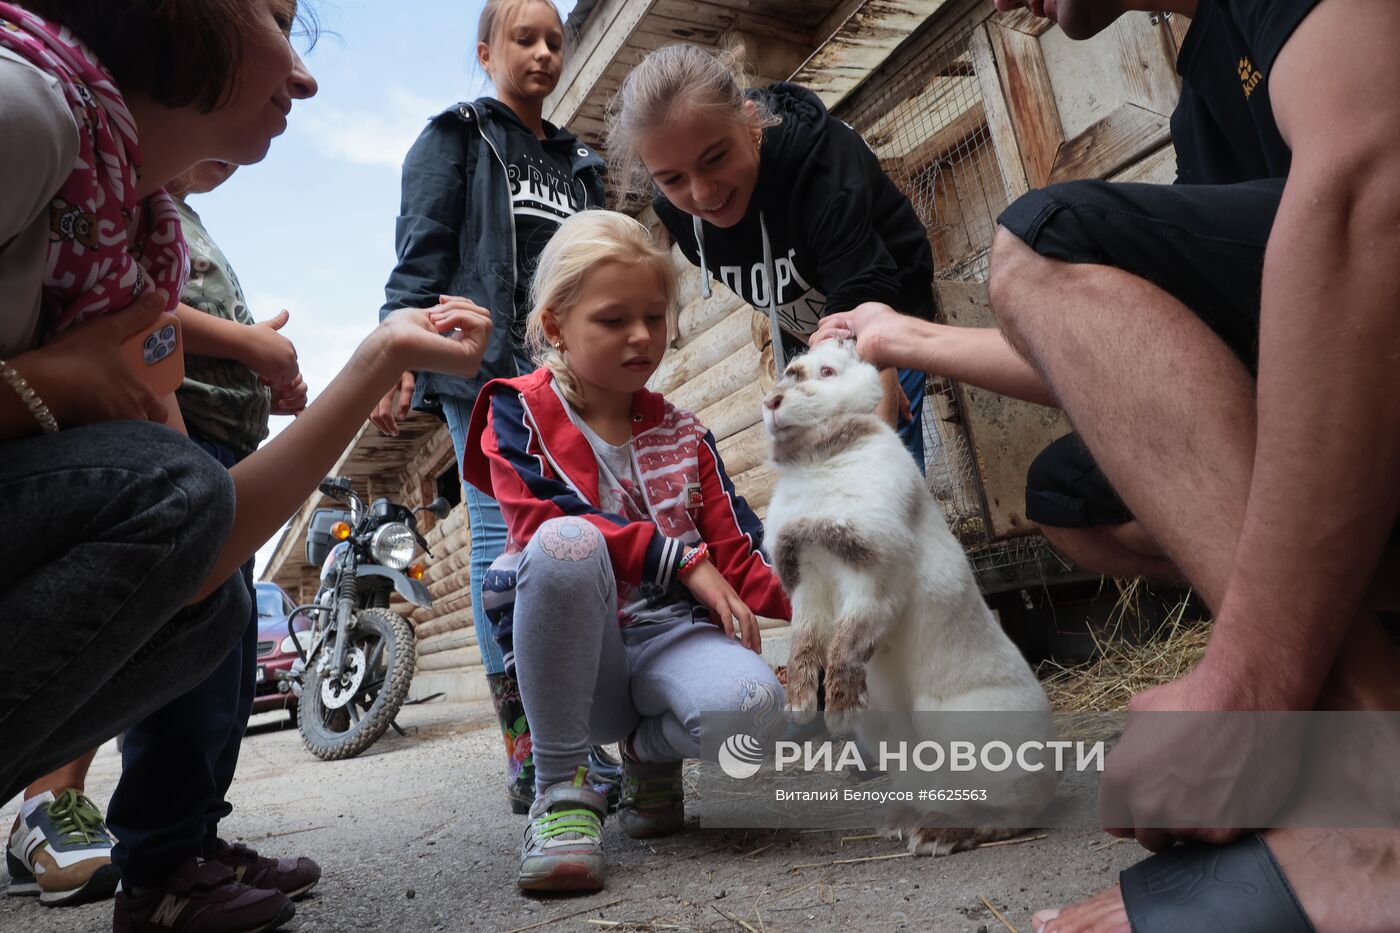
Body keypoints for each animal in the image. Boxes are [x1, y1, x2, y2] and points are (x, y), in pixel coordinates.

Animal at [767, 340, 1052, 851]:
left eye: (826, 371)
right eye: (789, 372)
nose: (772, 402)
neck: (818, 459)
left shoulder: (873, 582)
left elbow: (848, 644)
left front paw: (838, 713)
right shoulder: (808, 587)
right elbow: (805, 645)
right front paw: (799, 706)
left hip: (967, 738)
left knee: (1005, 812)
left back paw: (935, 835)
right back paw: (901, 820)